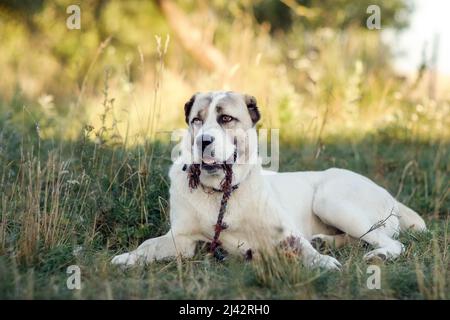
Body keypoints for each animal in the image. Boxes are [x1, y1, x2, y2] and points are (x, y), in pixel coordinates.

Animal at [111, 90, 426, 270]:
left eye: (226, 119)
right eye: (196, 120)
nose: (203, 141)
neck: (222, 192)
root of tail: (389, 195)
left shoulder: (286, 233)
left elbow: (304, 249)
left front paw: (323, 262)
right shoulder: (183, 239)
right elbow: (149, 245)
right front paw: (127, 258)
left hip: (330, 199)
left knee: (391, 243)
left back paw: (376, 256)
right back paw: (327, 241)